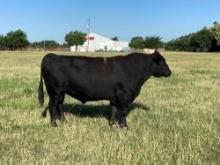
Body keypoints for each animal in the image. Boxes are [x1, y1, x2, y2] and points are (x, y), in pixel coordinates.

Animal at [38, 50, 172, 127]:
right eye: (162, 62)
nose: (170, 72)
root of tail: (52, 55)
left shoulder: (114, 96)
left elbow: (113, 110)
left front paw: (112, 124)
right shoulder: (124, 94)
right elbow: (122, 111)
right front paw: (124, 126)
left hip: (62, 92)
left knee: (59, 105)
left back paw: (64, 122)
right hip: (54, 91)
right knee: (52, 105)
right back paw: (54, 124)